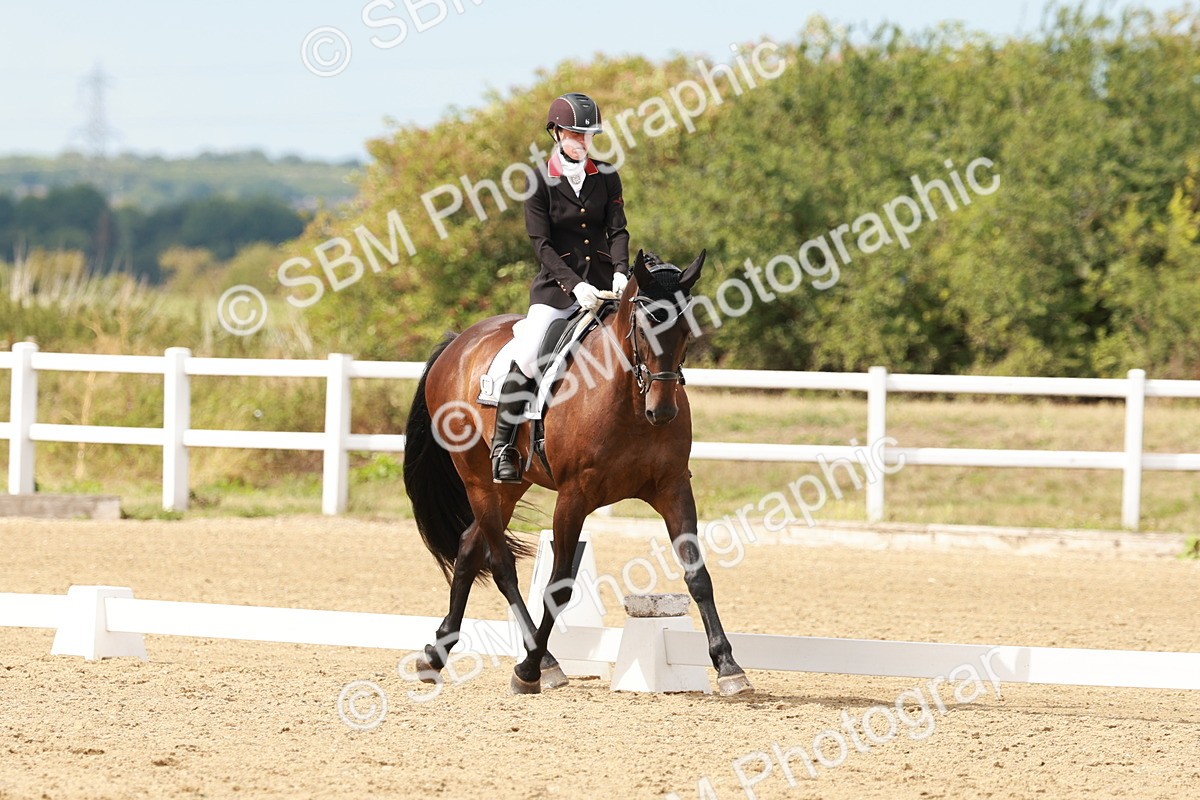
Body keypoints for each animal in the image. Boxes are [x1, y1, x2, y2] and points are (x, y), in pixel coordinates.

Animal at [402, 249, 752, 696]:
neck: (628, 400)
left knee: (467, 549)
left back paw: (437, 654)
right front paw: (527, 671)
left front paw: (729, 666)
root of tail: (458, 342)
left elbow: (698, 576)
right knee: (500, 565)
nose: (662, 411)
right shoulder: (573, 496)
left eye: (686, 328)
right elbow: (559, 586)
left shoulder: (672, 488)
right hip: (477, 479)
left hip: (508, 487)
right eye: (643, 326)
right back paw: (542, 662)